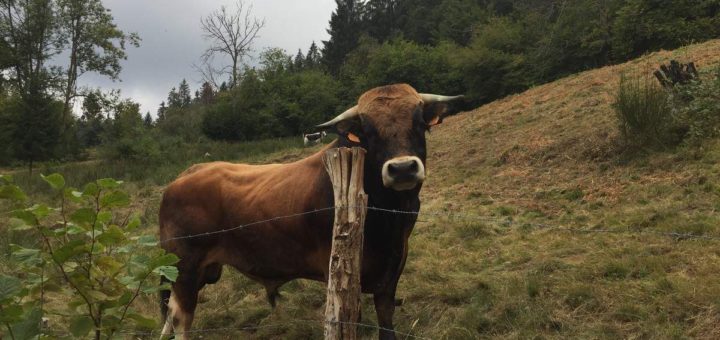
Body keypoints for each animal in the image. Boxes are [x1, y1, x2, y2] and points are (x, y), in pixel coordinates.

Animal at [158, 83, 462, 338]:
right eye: (367, 131)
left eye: (419, 122)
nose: (402, 169)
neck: (389, 215)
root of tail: (182, 177)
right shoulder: (340, 275)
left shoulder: (391, 274)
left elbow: (386, 325)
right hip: (184, 270)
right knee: (180, 318)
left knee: (170, 314)